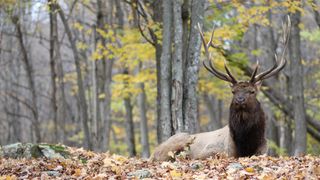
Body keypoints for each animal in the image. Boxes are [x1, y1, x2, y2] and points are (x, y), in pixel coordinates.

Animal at [151, 16, 292, 161]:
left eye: (252, 91)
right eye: (233, 91)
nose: (240, 99)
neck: (246, 146)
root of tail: (154, 151)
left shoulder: (264, 150)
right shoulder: (213, 151)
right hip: (178, 141)